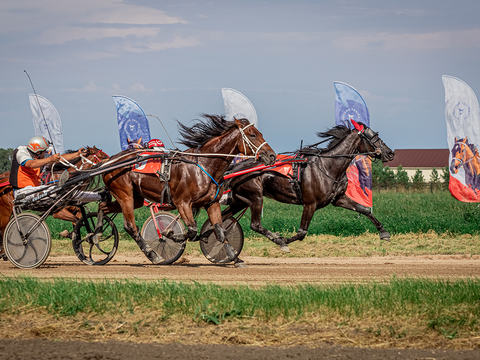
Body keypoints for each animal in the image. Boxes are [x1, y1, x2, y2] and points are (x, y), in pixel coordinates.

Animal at [99, 115, 276, 264]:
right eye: (252, 135)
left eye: (260, 133)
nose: (272, 156)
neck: (204, 166)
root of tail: (109, 161)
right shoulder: (182, 202)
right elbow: (191, 230)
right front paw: (171, 235)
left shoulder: (212, 203)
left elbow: (219, 230)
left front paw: (234, 257)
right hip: (125, 194)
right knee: (130, 226)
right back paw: (153, 255)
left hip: (134, 197)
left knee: (103, 206)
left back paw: (97, 233)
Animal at [221, 120, 394, 250]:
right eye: (373, 137)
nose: (390, 153)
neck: (328, 166)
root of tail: (237, 167)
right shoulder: (310, 203)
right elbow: (302, 232)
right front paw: (283, 240)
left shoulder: (338, 199)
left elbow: (364, 209)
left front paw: (384, 232)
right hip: (255, 197)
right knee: (255, 225)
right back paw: (276, 240)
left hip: (240, 200)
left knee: (222, 219)